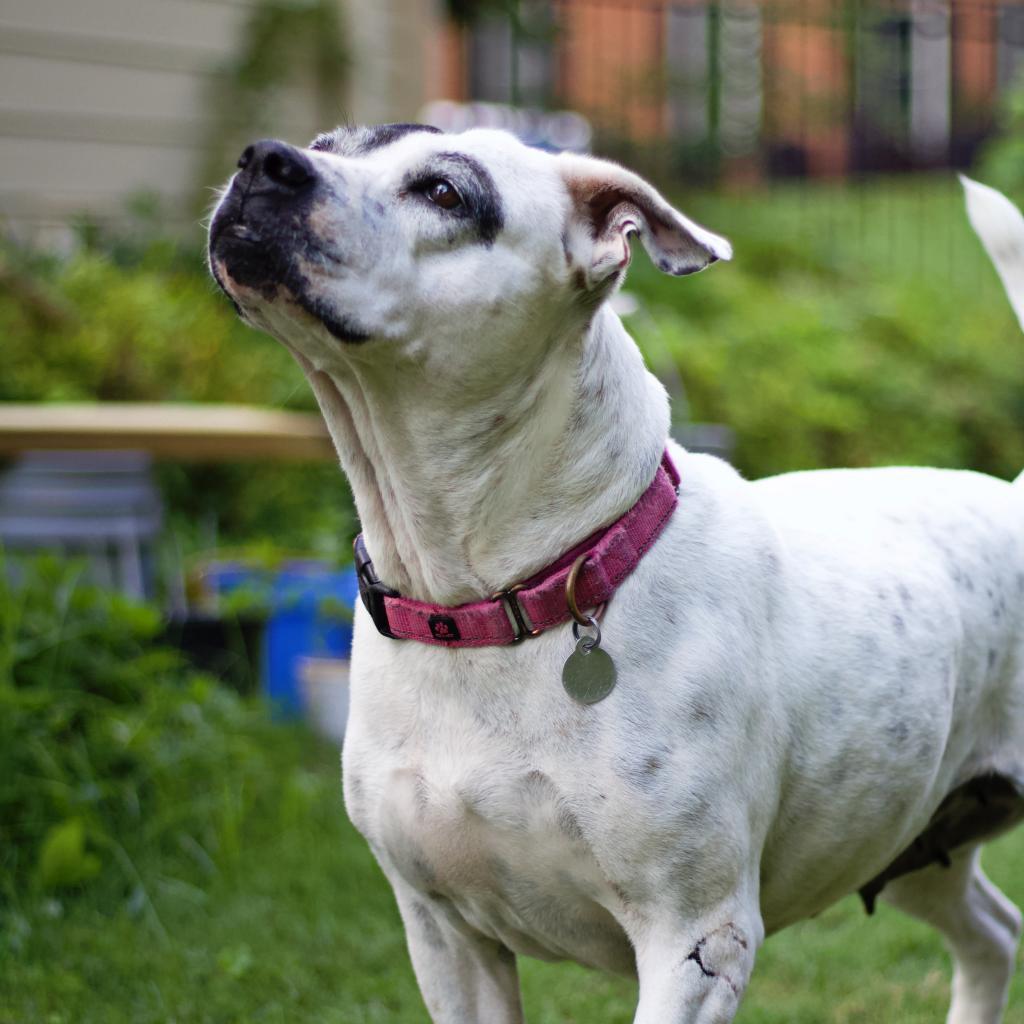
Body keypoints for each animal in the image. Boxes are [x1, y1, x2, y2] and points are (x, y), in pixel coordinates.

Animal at [207, 128, 1024, 1024]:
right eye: (327, 144)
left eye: (445, 193)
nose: (264, 160)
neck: (496, 600)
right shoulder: (445, 937)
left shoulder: (694, 941)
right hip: (906, 839)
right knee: (992, 931)